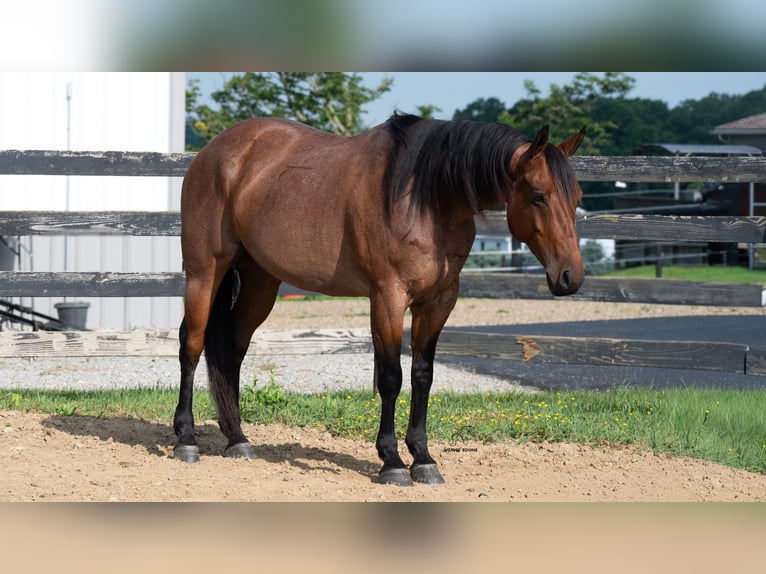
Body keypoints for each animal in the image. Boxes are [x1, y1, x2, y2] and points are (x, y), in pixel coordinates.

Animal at [173, 113, 585, 486]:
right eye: (539, 197)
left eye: (578, 197)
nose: (571, 276)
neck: (426, 199)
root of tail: (214, 152)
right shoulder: (388, 297)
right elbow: (391, 377)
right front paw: (392, 461)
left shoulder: (438, 302)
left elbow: (422, 376)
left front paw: (423, 458)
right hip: (205, 271)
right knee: (191, 344)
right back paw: (186, 439)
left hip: (260, 281)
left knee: (232, 350)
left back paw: (237, 439)